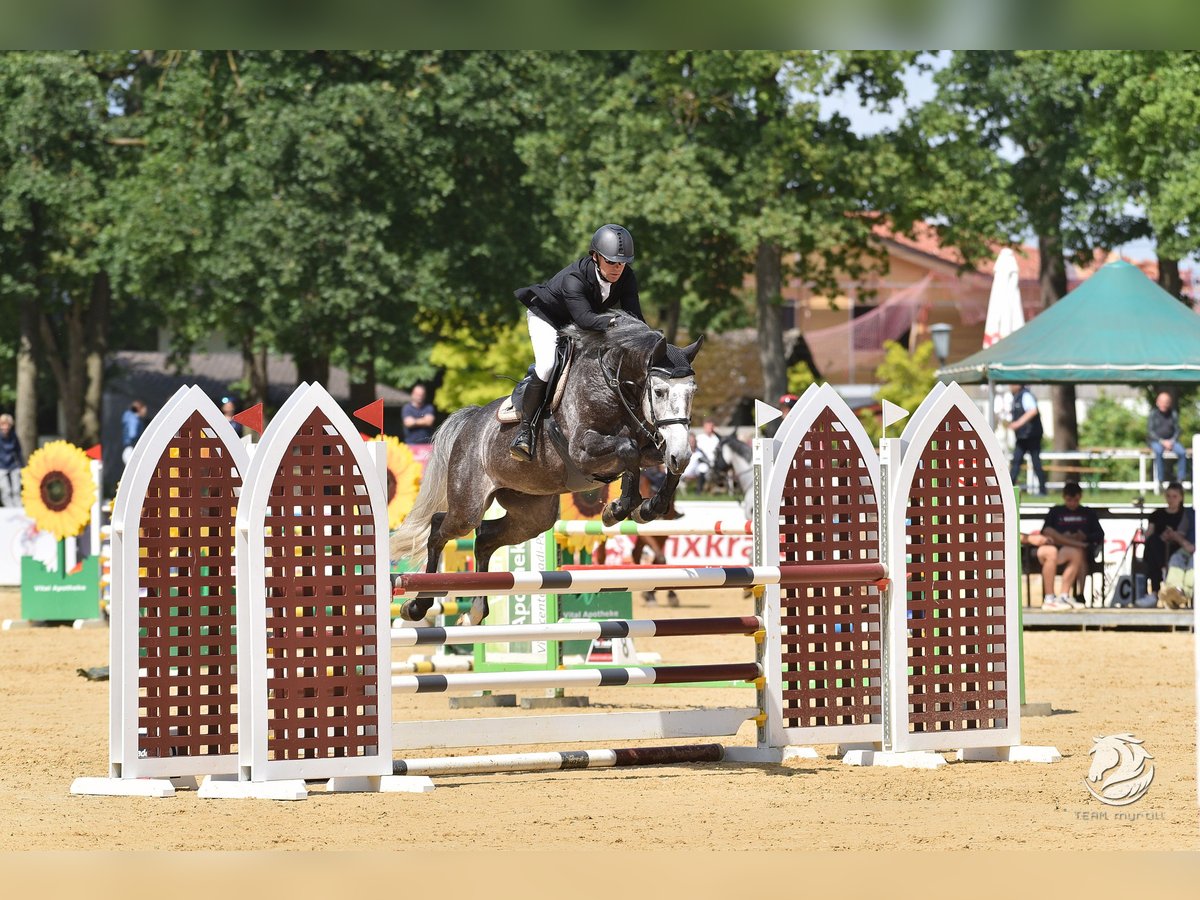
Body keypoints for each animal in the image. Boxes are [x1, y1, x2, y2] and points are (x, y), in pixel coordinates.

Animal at [388, 316, 700, 628]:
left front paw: (647, 507)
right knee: (439, 528)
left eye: (692, 392)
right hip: (468, 506)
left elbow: (664, 464)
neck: (613, 387)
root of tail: (471, 420)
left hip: (532, 514)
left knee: (486, 537)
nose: (681, 452)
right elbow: (628, 449)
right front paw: (618, 508)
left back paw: (474, 612)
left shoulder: (657, 446)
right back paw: (417, 606)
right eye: (659, 391)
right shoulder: (583, 451)